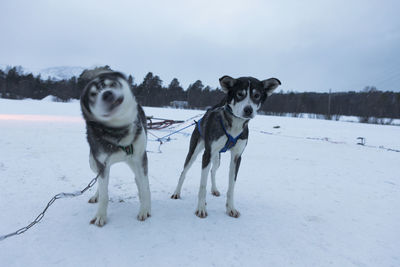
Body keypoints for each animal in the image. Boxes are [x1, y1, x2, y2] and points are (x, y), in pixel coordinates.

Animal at [80, 70, 151, 227]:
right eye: (93, 94)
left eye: (111, 84)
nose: (107, 94)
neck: (119, 132)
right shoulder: (101, 164)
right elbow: (104, 193)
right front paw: (100, 215)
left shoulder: (140, 158)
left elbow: (144, 186)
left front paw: (144, 209)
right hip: (93, 163)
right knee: (100, 183)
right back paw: (96, 195)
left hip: (135, 161)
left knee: (141, 180)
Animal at [170, 75, 280, 218]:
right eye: (239, 94)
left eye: (257, 95)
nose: (248, 110)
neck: (235, 126)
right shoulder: (207, 154)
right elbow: (202, 185)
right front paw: (201, 208)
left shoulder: (237, 157)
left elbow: (231, 186)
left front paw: (230, 208)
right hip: (195, 153)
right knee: (184, 172)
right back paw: (176, 193)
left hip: (217, 159)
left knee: (212, 171)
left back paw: (214, 189)